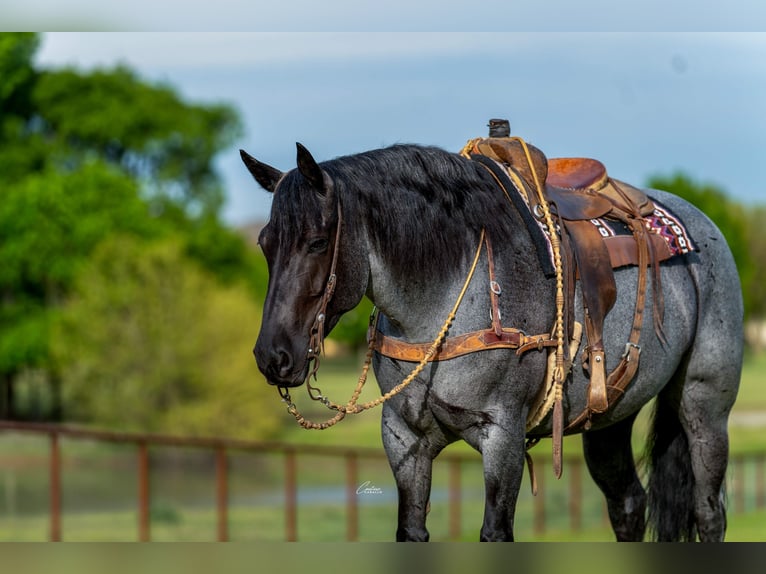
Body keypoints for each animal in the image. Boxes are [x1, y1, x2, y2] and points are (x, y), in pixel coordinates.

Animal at [240, 139, 743, 542]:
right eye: (265, 243)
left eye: (318, 242)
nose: (272, 356)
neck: (448, 296)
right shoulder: (403, 439)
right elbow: (411, 530)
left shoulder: (502, 436)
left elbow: (496, 531)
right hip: (610, 417)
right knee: (629, 507)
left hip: (704, 408)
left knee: (709, 512)